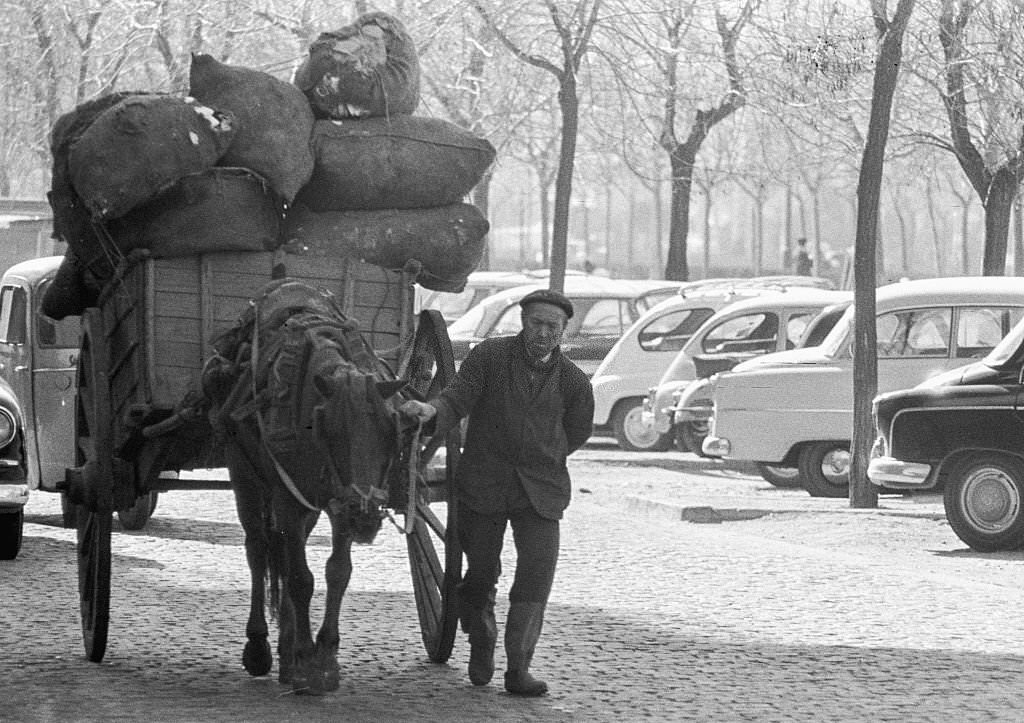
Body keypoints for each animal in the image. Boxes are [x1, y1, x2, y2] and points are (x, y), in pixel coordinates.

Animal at [203, 276, 411, 692]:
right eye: (329, 430)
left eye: (391, 431)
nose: (366, 518)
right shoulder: (289, 498)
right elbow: (300, 578)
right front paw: (305, 658)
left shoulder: (338, 502)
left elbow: (337, 571)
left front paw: (325, 655)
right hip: (246, 475)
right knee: (258, 549)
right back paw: (262, 647)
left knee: (281, 551)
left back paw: (285, 653)